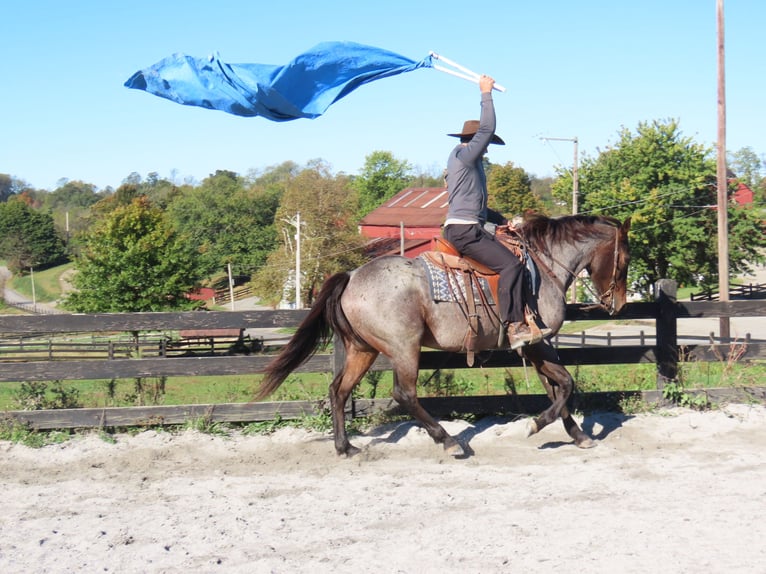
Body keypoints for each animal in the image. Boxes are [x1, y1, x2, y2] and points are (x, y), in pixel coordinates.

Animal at [256, 214, 631, 457]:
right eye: (625, 259)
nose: (618, 304)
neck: (541, 266)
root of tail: (351, 276)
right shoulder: (537, 343)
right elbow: (565, 384)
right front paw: (536, 426)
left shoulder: (537, 345)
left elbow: (557, 387)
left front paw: (578, 435)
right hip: (404, 348)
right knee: (404, 393)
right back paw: (449, 441)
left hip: (362, 349)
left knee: (338, 390)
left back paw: (345, 447)